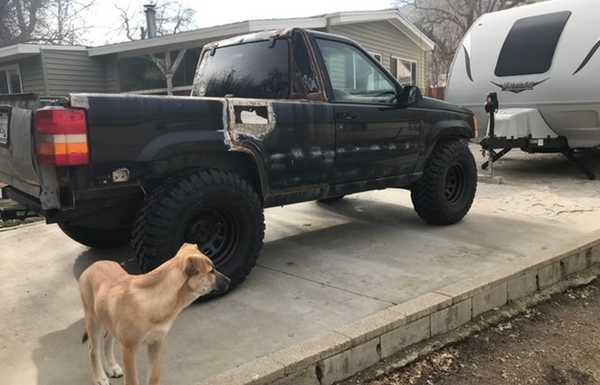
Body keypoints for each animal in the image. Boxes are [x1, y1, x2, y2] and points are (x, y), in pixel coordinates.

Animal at [79, 243, 230, 384]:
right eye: (211, 271)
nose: (229, 281)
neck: (153, 300)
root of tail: (92, 266)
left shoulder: (157, 343)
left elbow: (154, 376)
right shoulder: (129, 349)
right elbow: (132, 380)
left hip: (108, 321)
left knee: (107, 342)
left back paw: (112, 367)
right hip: (94, 321)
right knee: (93, 349)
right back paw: (100, 378)